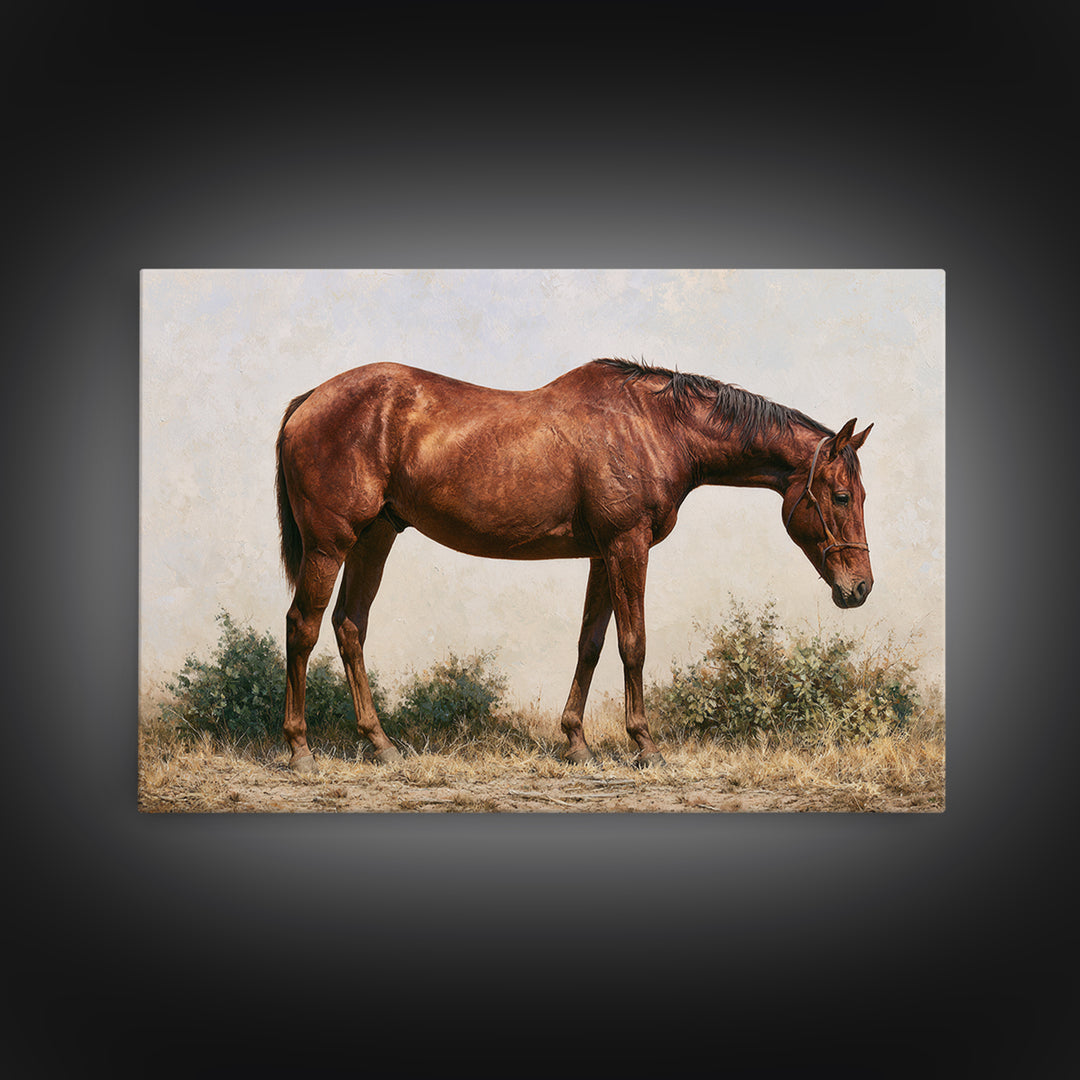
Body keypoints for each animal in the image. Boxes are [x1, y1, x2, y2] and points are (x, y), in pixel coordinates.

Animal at [275, 357, 873, 771]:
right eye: (842, 496)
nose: (861, 588)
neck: (654, 427)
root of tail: (309, 400)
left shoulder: (603, 554)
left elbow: (591, 642)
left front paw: (577, 742)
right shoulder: (628, 546)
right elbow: (633, 644)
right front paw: (645, 746)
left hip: (375, 538)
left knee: (349, 626)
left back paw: (381, 745)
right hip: (329, 546)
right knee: (303, 627)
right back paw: (301, 750)